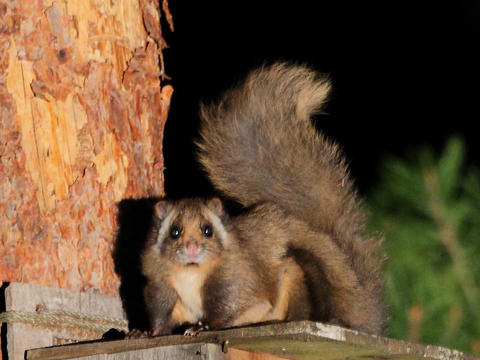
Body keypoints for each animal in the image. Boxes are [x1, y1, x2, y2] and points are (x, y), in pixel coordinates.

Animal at [128, 62, 386, 338]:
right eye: (174, 232)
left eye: (208, 230)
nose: (192, 248)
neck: (190, 273)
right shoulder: (161, 286)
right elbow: (160, 319)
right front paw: (143, 333)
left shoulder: (236, 283)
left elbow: (231, 309)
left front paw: (202, 327)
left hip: (293, 280)